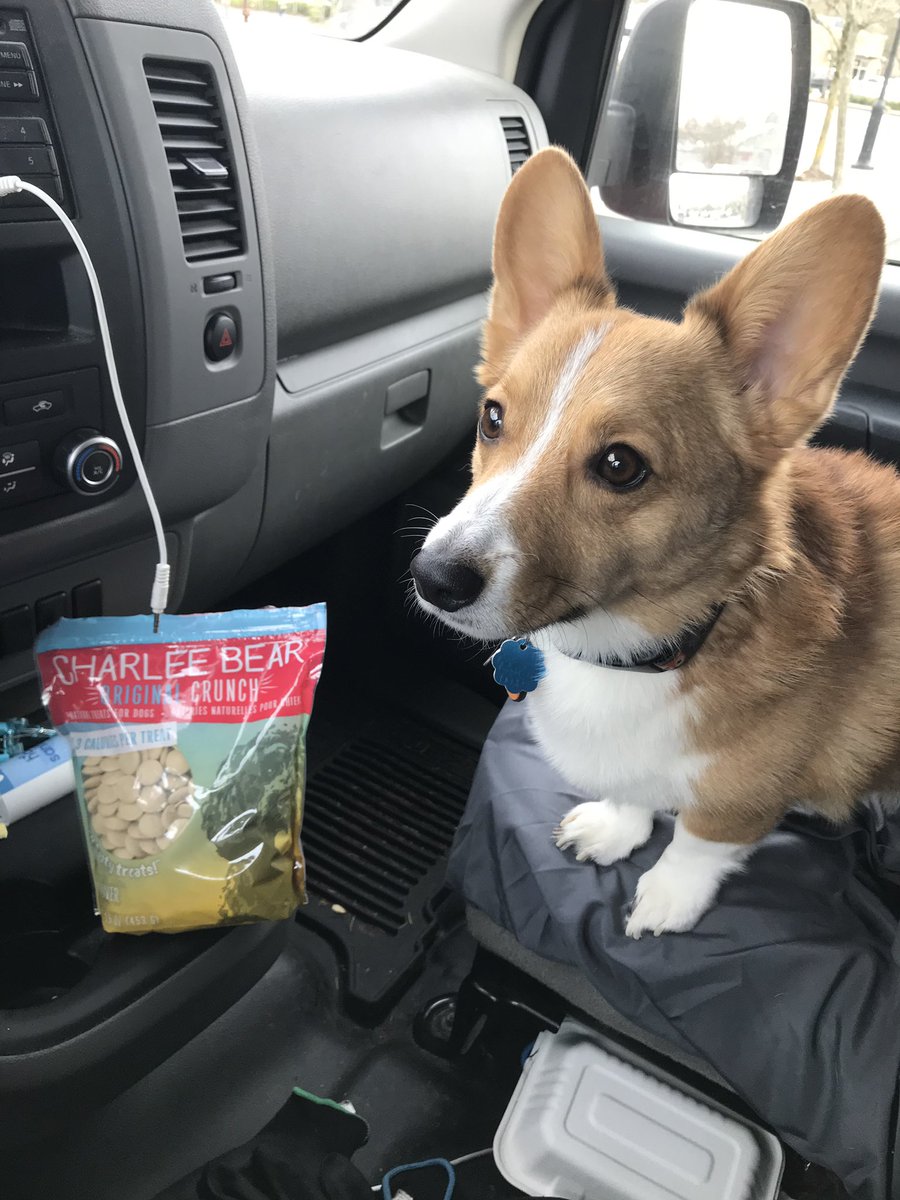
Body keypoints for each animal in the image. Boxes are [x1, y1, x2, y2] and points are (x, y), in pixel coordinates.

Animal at [412, 147, 892, 936]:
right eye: (492, 418)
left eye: (620, 465)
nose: (433, 578)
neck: (636, 653)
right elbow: (634, 792)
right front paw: (615, 826)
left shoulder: (743, 797)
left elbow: (699, 840)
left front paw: (667, 898)